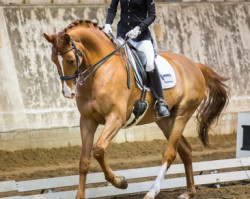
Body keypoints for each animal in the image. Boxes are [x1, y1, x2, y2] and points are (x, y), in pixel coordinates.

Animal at [43, 19, 229, 199]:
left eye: (70, 60)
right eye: (53, 60)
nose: (68, 93)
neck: (101, 71)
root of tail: (194, 64)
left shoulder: (116, 119)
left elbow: (98, 150)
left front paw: (120, 182)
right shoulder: (87, 121)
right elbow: (84, 161)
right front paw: (81, 195)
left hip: (182, 115)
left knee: (170, 153)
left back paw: (151, 192)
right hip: (166, 120)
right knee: (185, 151)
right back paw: (188, 192)